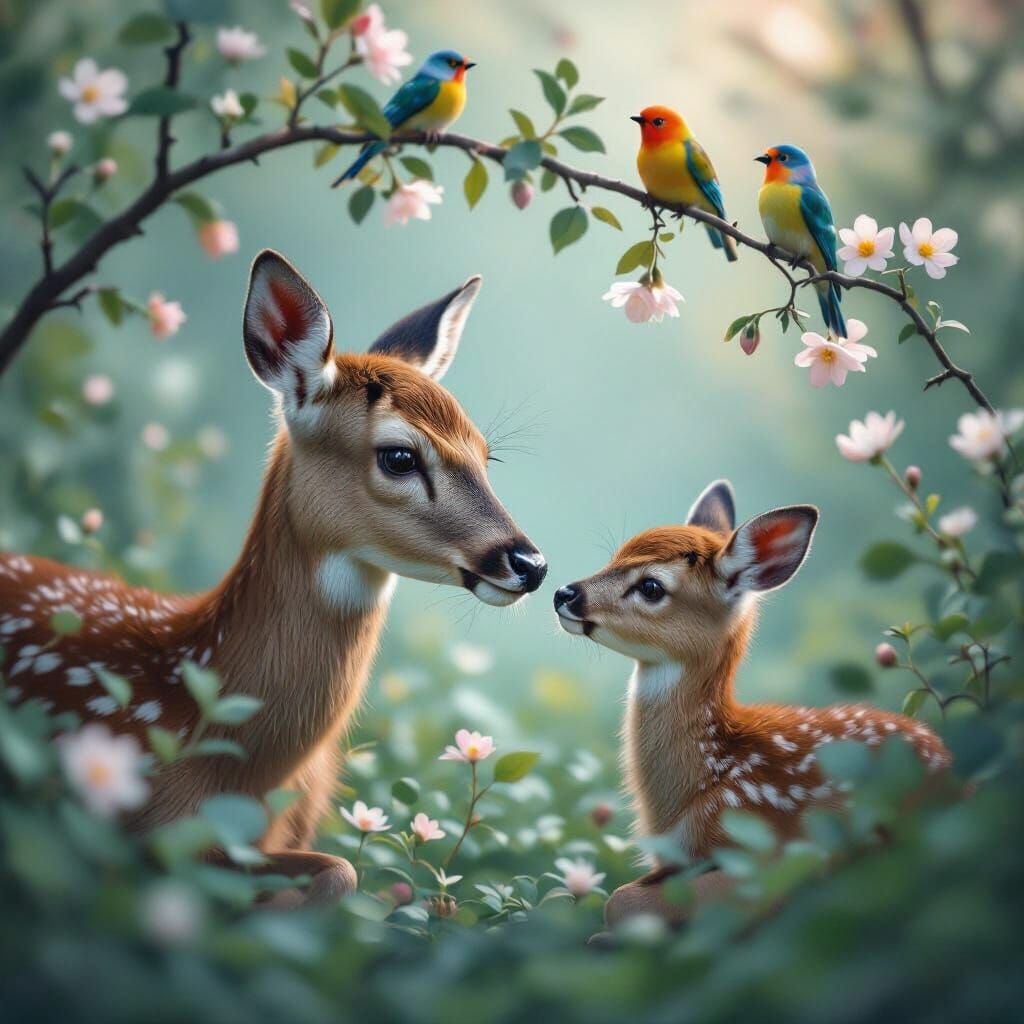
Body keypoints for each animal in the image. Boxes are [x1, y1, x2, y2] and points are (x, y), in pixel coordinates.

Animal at [0, 250, 547, 905]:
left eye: (486, 453)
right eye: (399, 456)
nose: (530, 564)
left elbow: (344, 872)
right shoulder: (130, 829)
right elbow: (339, 871)